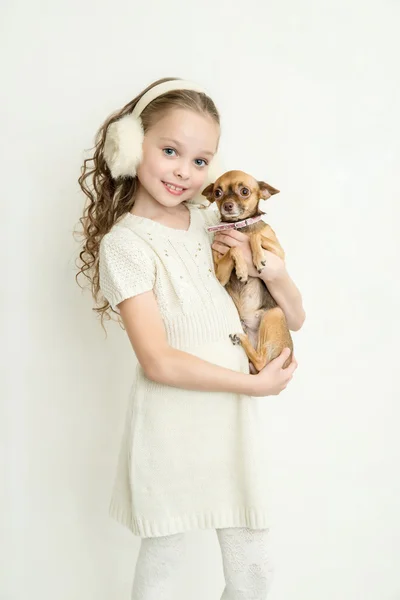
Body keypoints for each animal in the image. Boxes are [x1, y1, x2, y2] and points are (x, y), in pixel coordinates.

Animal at [203, 169, 294, 372]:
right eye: (218, 193)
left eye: (244, 191)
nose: (227, 205)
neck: (239, 227)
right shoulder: (219, 275)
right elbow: (234, 248)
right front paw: (242, 270)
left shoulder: (279, 255)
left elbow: (255, 235)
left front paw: (257, 259)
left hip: (274, 313)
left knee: (261, 361)